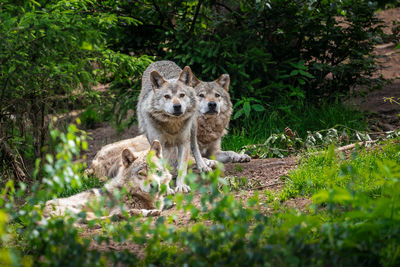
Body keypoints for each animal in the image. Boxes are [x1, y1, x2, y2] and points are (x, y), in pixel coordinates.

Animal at [43, 140, 172, 222]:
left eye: (157, 171)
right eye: (141, 174)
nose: (155, 185)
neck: (132, 194)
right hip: (77, 210)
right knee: (93, 220)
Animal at [137, 61, 211, 194]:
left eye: (182, 95)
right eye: (167, 96)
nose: (177, 106)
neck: (172, 124)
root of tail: (162, 60)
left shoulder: (183, 142)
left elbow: (183, 167)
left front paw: (181, 186)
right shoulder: (159, 143)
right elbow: (161, 167)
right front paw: (166, 188)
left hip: (192, 128)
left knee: (195, 146)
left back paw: (202, 166)